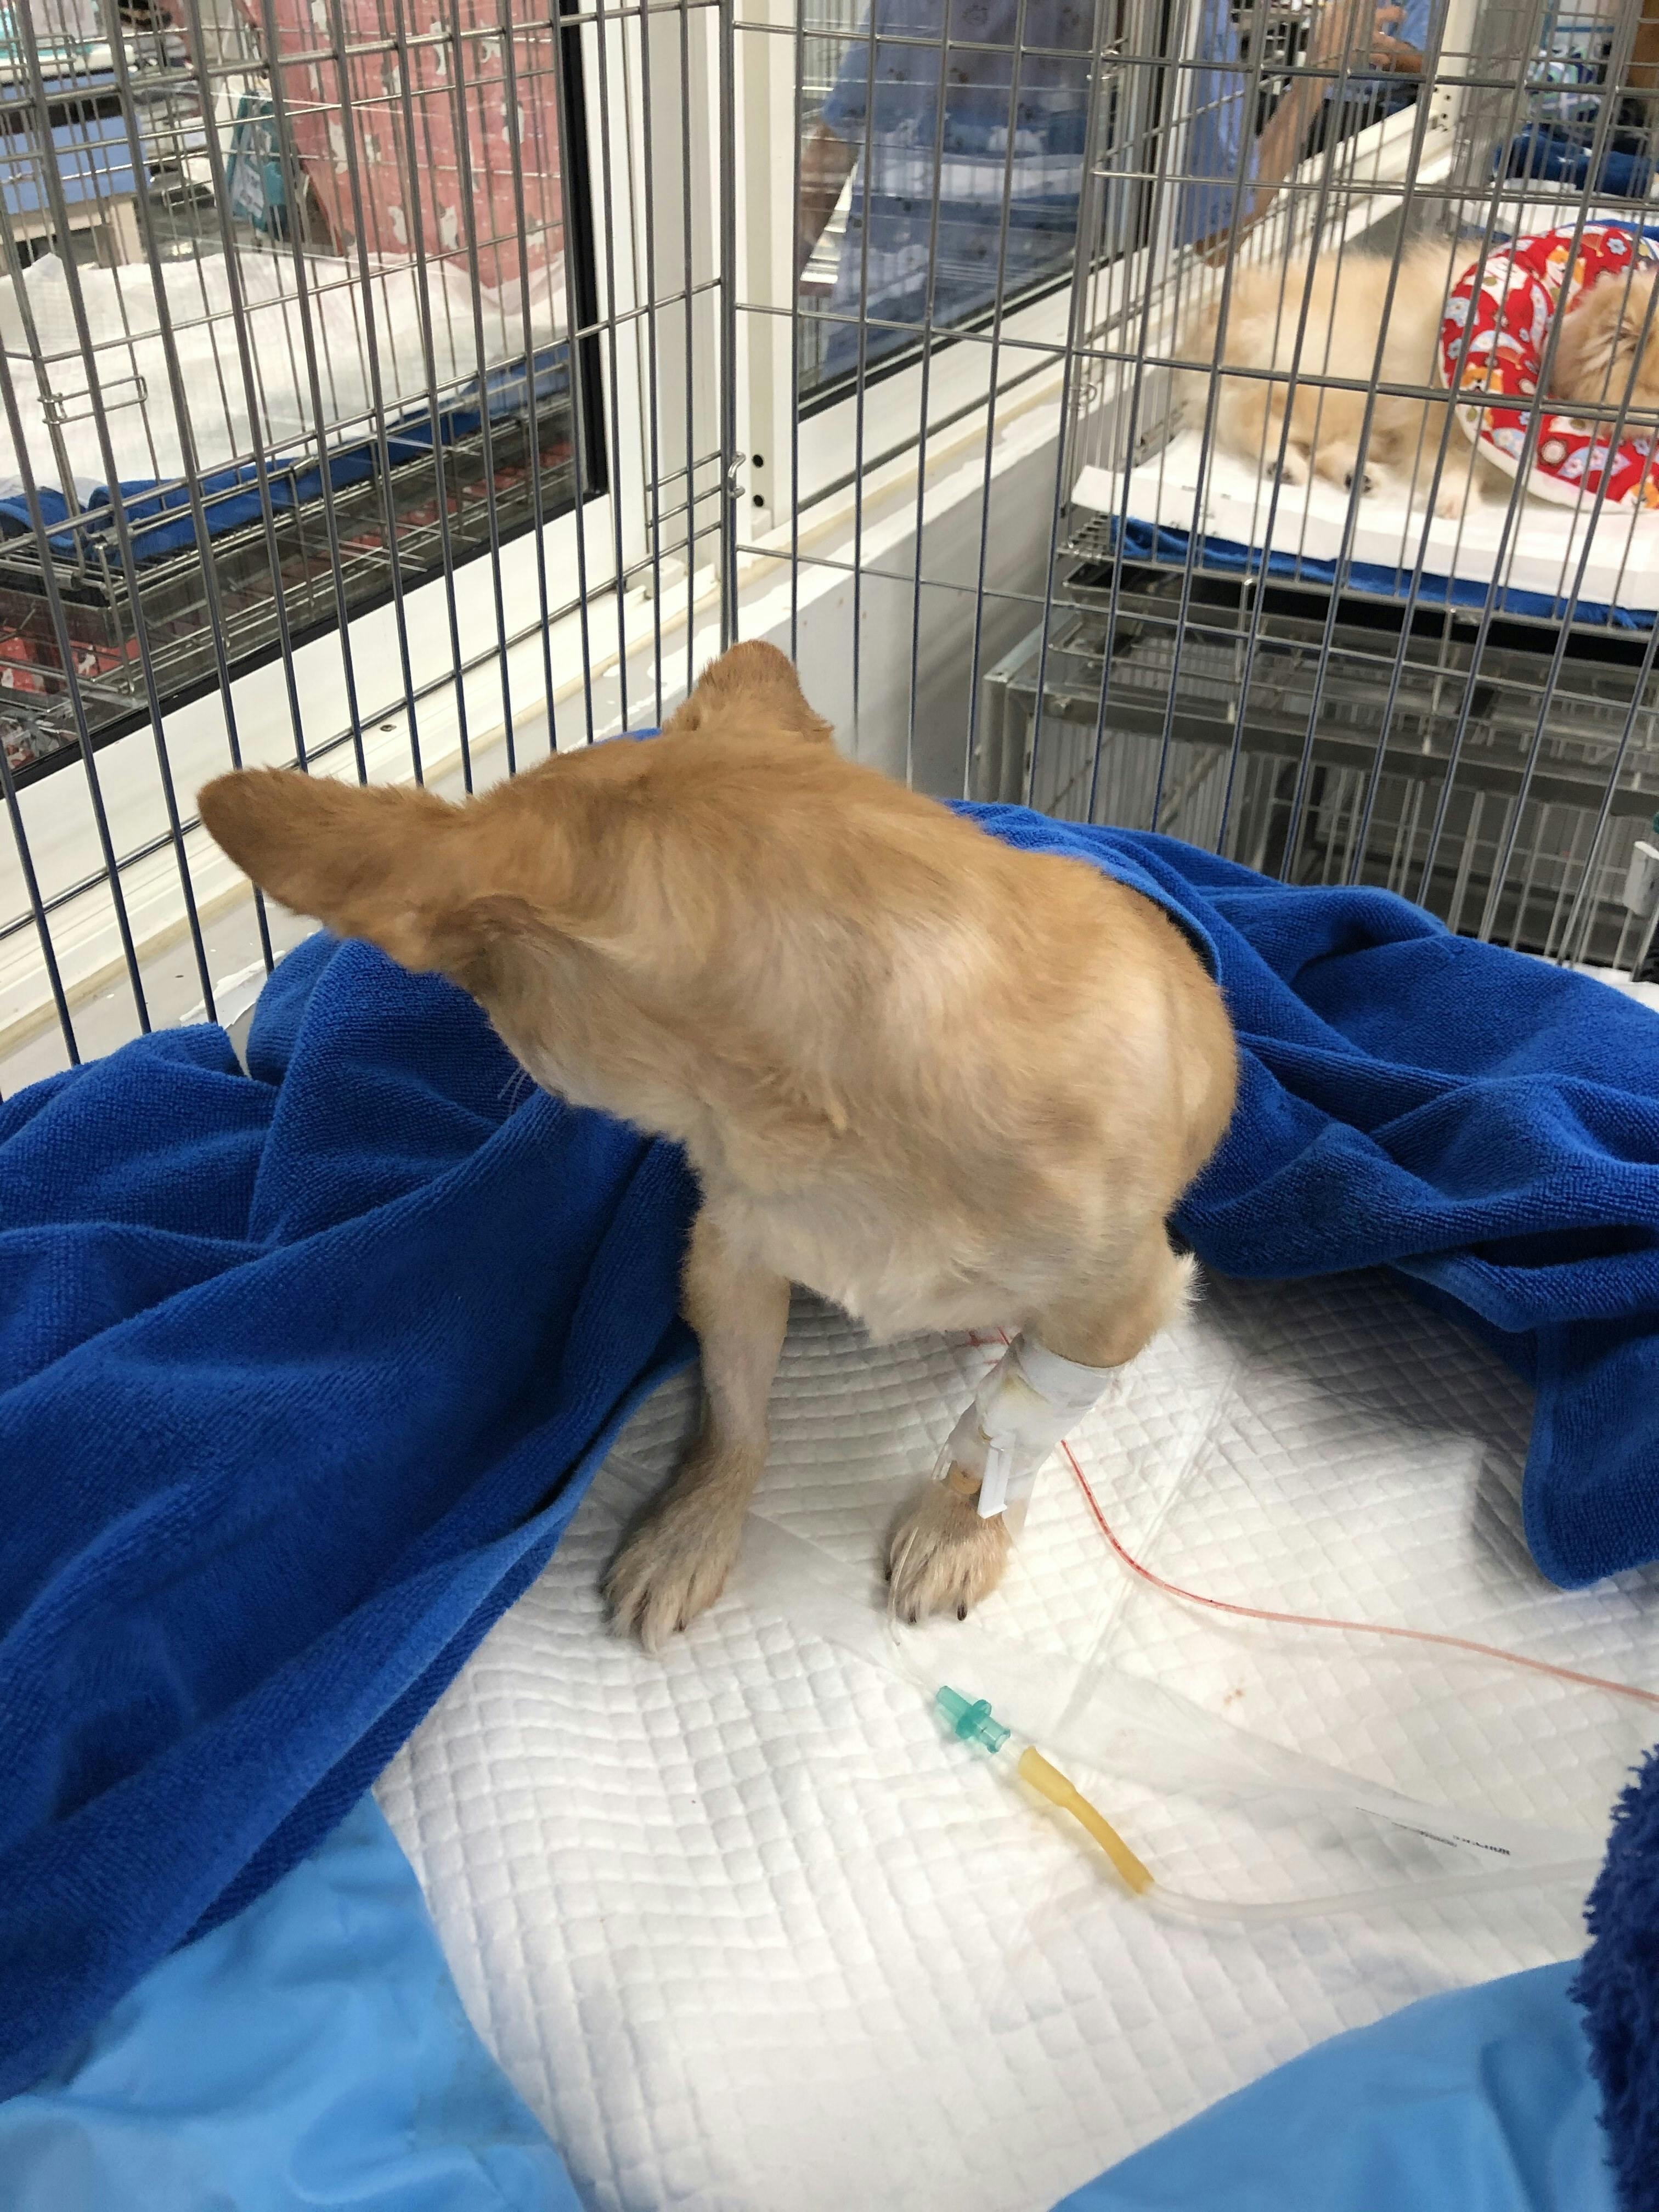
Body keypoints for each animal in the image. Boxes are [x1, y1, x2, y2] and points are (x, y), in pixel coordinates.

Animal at [198, 644, 1236, 1646]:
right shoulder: (730, 1256)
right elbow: (735, 1415)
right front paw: (690, 1530)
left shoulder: (1110, 1308)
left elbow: (1001, 1436)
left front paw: (957, 1530)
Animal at [1178, 236, 1503, 517]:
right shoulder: (1433, 427)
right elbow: (1457, 465)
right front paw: (1453, 497)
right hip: (1331, 384)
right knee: (1248, 417)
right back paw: (1285, 464)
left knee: (1323, 451)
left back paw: (1359, 476)